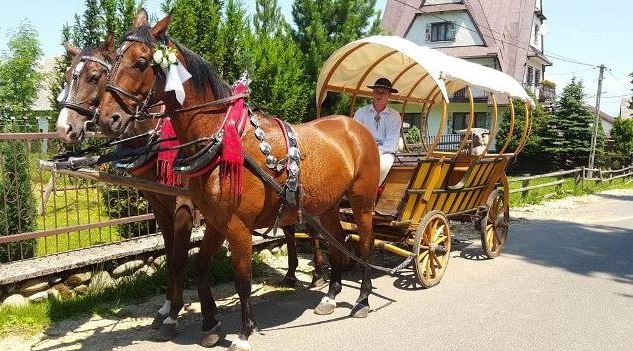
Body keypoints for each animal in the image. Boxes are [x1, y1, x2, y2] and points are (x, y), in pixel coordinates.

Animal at [96, 11, 378, 351]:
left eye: (140, 62)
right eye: (114, 60)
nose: (106, 119)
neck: (221, 138)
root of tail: (355, 126)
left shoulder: (238, 226)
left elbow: (242, 279)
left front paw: (244, 332)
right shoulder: (216, 221)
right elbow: (200, 268)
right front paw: (210, 324)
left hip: (362, 202)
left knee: (364, 244)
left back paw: (362, 300)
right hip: (327, 206)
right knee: (338, 243)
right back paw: (331, 295)